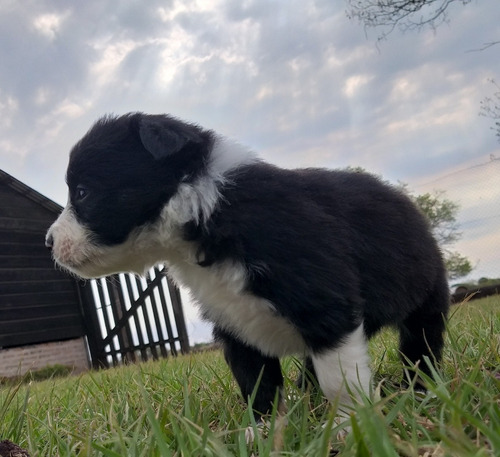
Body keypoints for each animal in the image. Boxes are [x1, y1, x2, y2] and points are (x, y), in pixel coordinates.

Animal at [47, 111, 452, 420]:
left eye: (82, 192)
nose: (48, 242)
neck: (209, 214)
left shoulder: (325, 308)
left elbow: (341, 382)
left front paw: (351, 428)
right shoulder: (234, 322)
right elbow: (256, 383)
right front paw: (264, 433)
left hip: (426, 298)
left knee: (420, 345)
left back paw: (422, 390)